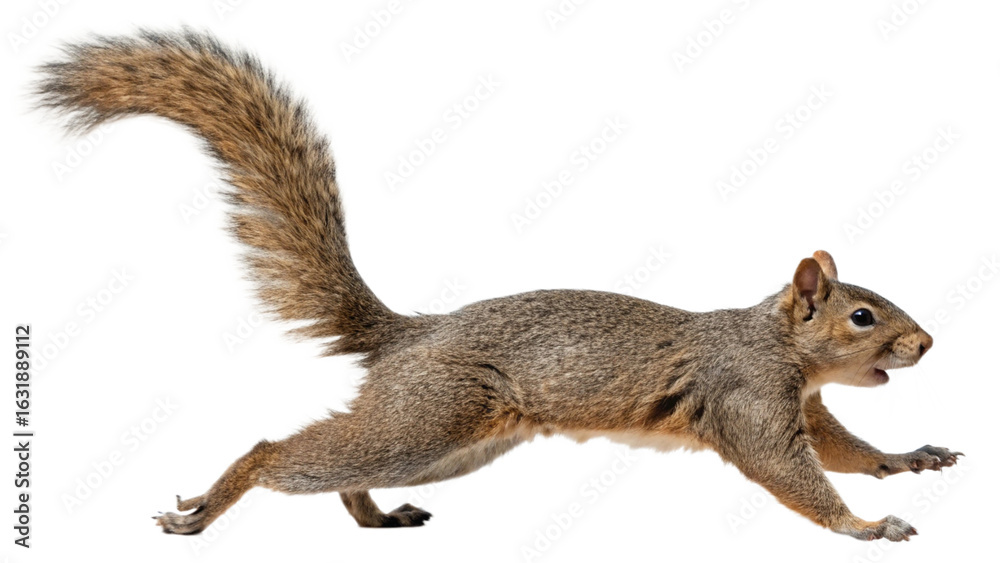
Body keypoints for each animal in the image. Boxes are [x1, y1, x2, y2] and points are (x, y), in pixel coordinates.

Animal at [35, 31, 962, 542]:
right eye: (862, 314)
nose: (926, 342)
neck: (776, 343)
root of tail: (411, 334)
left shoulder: (803, 402)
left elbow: (846, 449)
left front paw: (905, 458)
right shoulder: (748, 394)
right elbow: (792, 471)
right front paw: (865, 523)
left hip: (450, 445)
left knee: (343, 467)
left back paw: (373, 517)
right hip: (430, 417)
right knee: (283, 455)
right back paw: (209, 505)